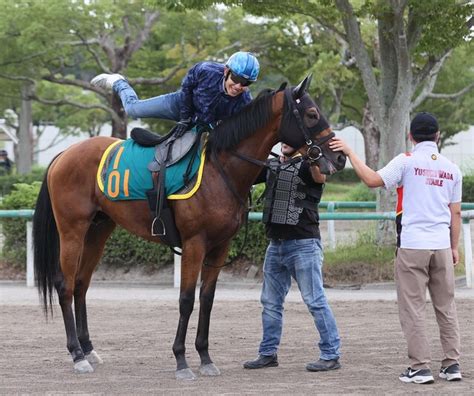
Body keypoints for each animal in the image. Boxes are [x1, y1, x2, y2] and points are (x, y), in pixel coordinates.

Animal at [32, 75, 344, 380]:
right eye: (312, 114)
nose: (340, 158)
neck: (219, 170)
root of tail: (64, 154)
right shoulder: (195, 244)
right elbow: (186, 299)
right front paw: (181, 360)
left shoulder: (219, 247)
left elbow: (206, 299)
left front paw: (205, 357)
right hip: (72, 230)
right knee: (65, 286)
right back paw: (77, 355)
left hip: (98, 231)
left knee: (81, 285)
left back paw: (89, 349)